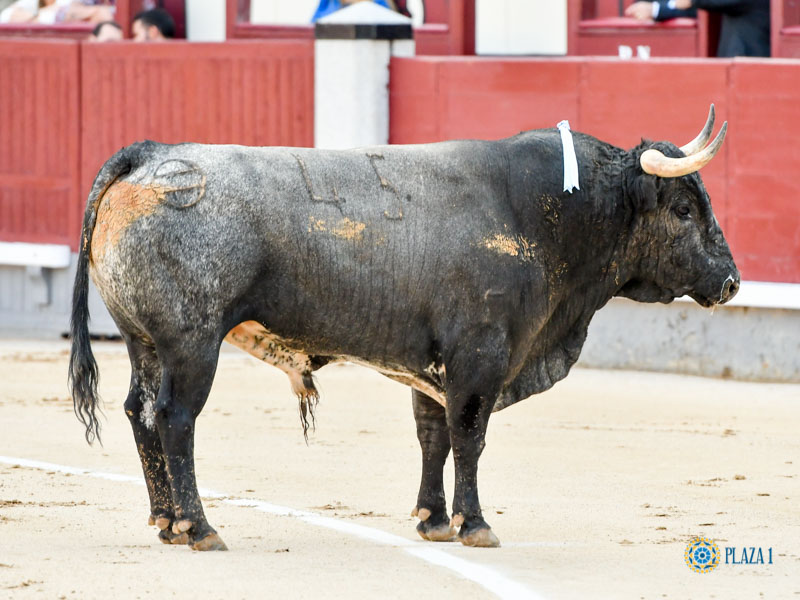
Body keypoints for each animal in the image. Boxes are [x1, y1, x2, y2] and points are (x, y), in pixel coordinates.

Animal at [69, 106, 736, 548]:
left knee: (139, 413)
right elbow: (469, 437)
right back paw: (199, 526)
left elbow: (432, 437)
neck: (542, 213)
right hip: (192, 344)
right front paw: (475, 524)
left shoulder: (431, 365)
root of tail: (152, 153)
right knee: (175, 419)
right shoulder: (479, 356)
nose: (731, 281)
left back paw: (165, 522)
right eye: (683, 210)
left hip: (144, 342)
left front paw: (433, 520)